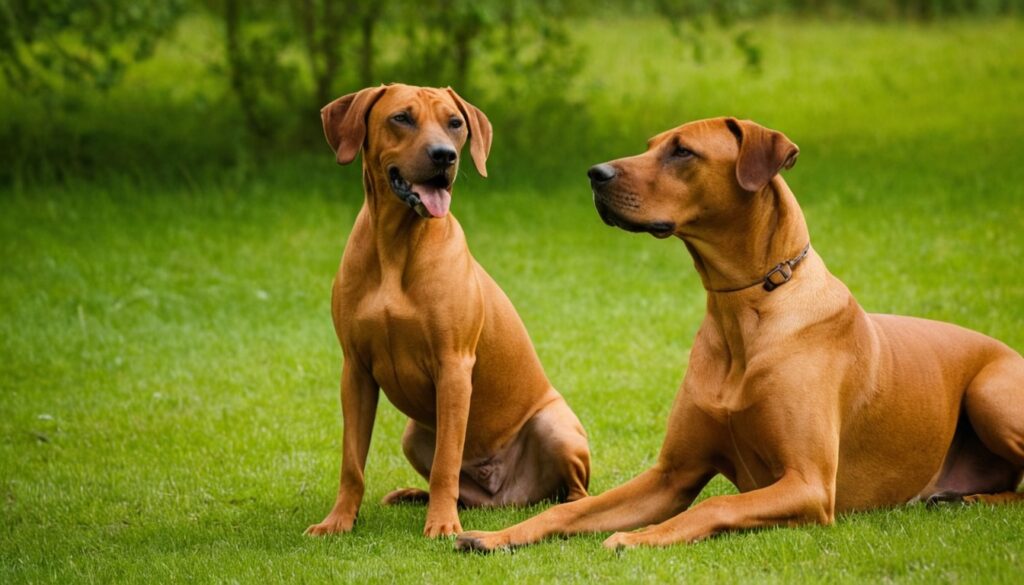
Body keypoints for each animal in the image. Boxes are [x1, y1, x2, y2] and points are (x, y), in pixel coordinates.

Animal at [301, 84, 593, 536]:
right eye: (402, 118)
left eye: (455, 123)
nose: (444, 156)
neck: (396, 246)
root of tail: (507, 497)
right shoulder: (355, 369)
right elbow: (352, 463)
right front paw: (338, 521)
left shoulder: (454, 366)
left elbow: (446, 463)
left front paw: (440, 525)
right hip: (414, 435)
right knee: (466, 493)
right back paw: (415, 496)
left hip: (555, 426)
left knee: (575, 493)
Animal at [458, 116, 1024, 553]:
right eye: (650, 144)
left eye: (682, 151)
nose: (595, 174)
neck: (744, 311)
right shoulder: (671, 475)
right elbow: (573, 510)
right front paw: (495, 535)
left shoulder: (808, 483)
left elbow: (717, 505)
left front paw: (641, 537)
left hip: (991, 392)